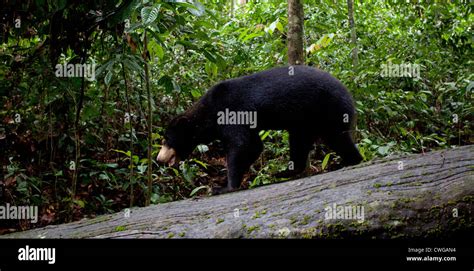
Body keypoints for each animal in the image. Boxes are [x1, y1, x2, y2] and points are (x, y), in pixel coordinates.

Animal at [158, 65, 362, 193]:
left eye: (166, 139)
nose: (159, 159)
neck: (208, 114)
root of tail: (349, 93)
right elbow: (254, 145)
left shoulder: (231, 112)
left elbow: (241, 144)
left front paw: (222, 187)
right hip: (306, 121)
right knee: (301, 142)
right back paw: (284, 172)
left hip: (327, 109)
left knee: (337, 137)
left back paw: (350, 161)